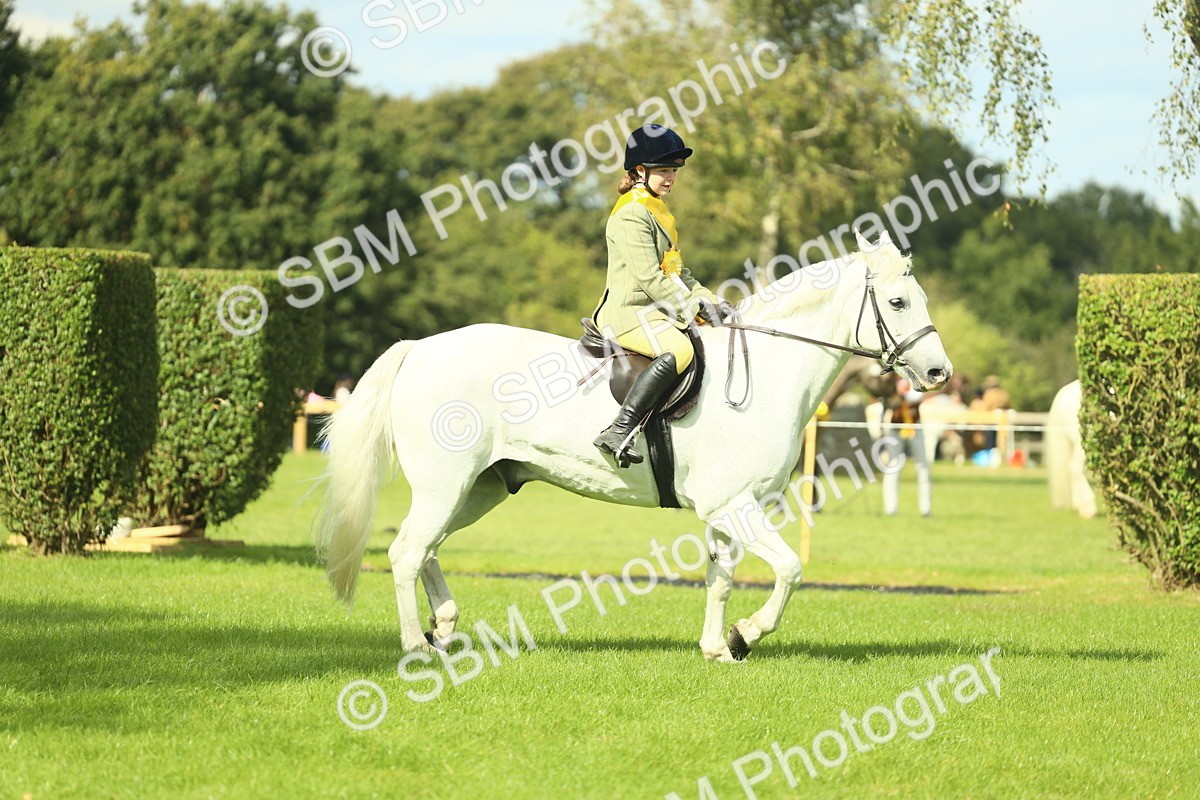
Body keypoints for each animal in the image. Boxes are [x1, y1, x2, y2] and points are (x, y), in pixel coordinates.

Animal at [312, 229, 952, 663]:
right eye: (898, 303)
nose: (939, 373)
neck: (769, 372)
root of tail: (420, 348)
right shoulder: (734, 505)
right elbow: (791, 569)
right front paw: (746, 635)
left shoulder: (728, 510)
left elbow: (721, 578)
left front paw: (717, 648)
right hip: (446, 483)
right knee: (406, 552)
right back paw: (415, 645)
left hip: (479, 488)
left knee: (425, 547)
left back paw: (443, 626)